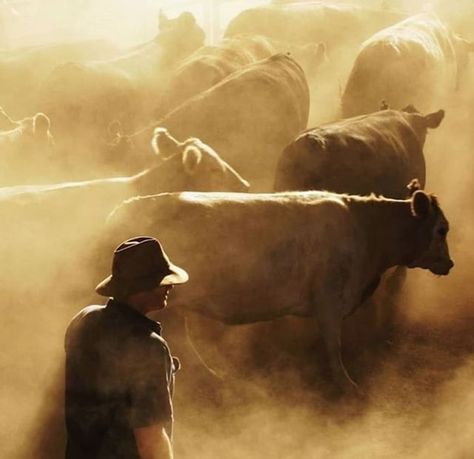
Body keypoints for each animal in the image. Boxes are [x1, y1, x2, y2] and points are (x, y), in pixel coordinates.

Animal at [105, 187, 454, 392]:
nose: (449, 264)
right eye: (441, 229)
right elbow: (333, 345)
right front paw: (346, 385)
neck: (366, 228)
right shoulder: (329, 300)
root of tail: (124, 207)